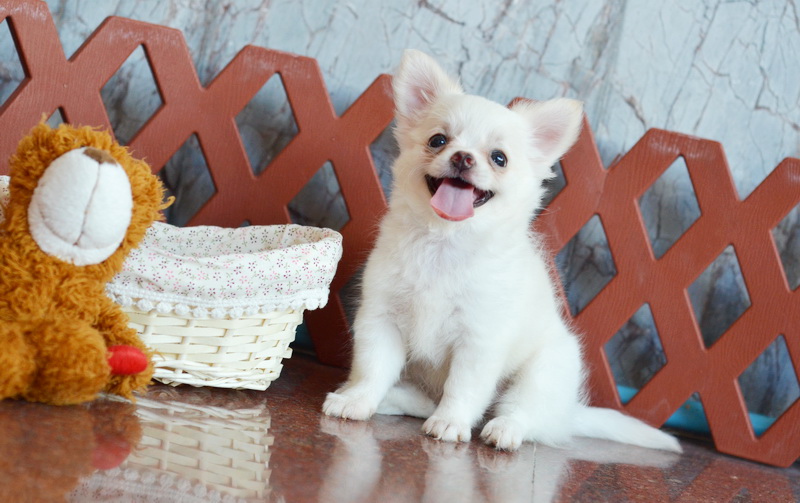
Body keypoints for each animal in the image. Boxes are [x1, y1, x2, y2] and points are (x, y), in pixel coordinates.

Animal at [322, 49, 681, 453]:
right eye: (438, 140)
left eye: (499, 158)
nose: (463, 157)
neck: (445, 242)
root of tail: (569, 414)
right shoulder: (382, 320)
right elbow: (373, 368)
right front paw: (357, 400)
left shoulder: (479, 341)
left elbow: (463, 387)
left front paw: (450, 423)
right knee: (422, 399)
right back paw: (390, 400)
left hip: (543, 373)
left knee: (522, 414)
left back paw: (505, 429)